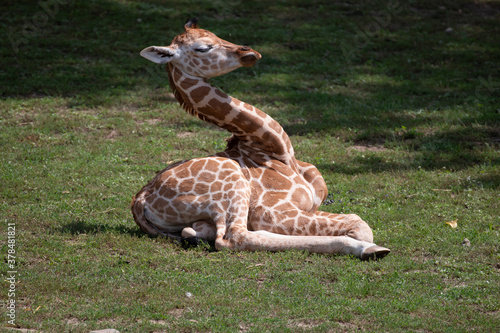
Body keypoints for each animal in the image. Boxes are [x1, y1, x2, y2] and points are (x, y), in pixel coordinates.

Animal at [131, 18, 388, 260]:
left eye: (216, 34)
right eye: (202, 48)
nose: (247, 52)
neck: (277, 150)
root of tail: (140, 200)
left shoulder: (311, 205)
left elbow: (355, 219)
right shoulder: (273, 212)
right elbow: (360, 225)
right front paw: (364, 244)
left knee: (204, 231)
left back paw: (195, 234)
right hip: (232, 184)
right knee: (233, 237)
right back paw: (368, 249)